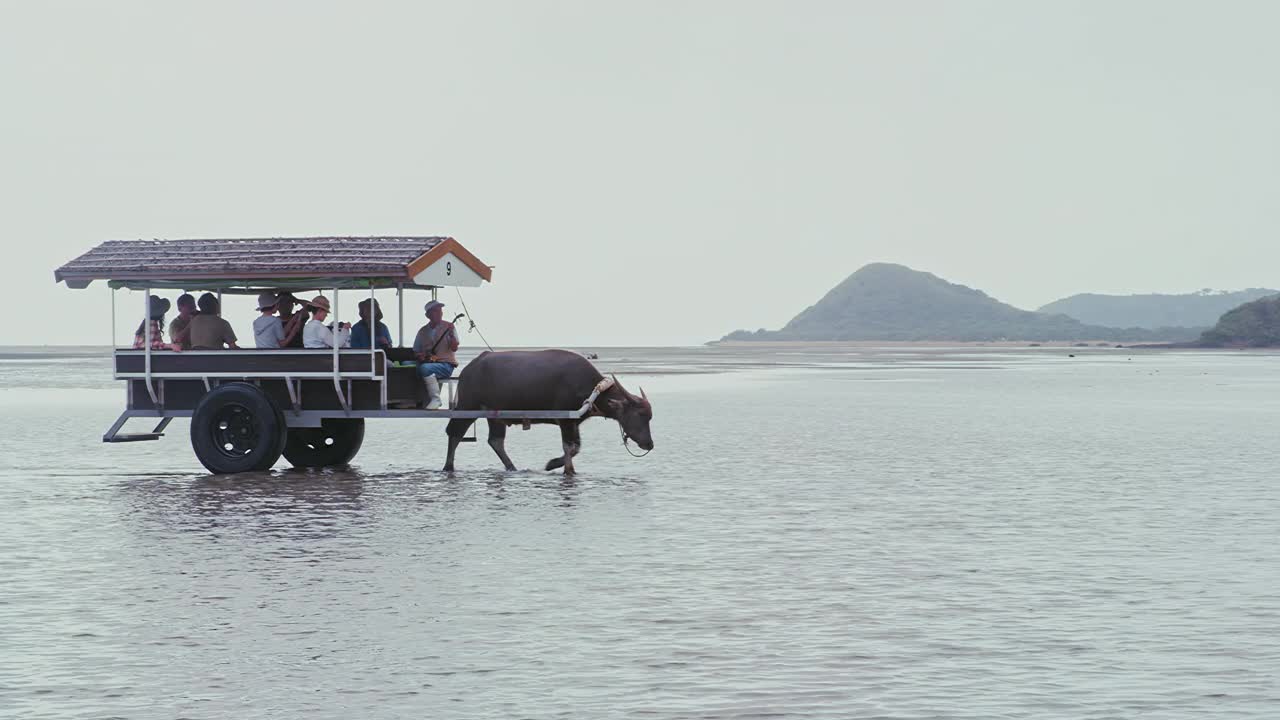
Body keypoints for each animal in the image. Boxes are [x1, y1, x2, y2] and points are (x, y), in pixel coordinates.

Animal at [445, 351, 655, 474]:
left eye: (650, 417)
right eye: (639, 415)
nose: (649, 444)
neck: (591, 389)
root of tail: (470, 368)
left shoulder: (574, 422)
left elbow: (576, 447)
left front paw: (553, 464)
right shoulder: (565, 420)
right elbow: (569, 447)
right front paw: (562, 468)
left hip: (494, 415)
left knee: (495, 441)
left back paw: (512, 468)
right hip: (467, 406)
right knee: (454, 433)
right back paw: (448, 467)